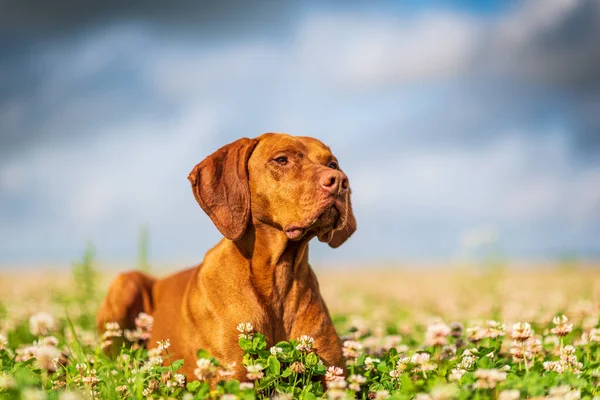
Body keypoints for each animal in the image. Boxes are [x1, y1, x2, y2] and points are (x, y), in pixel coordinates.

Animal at [95, 134, 354, 382]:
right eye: (282, 160)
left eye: (332, 164)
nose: (340, 181)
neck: (278, 282)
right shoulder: (231, 376)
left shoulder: (335, 375)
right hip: (126, 282)